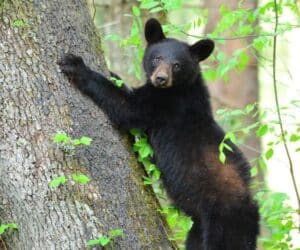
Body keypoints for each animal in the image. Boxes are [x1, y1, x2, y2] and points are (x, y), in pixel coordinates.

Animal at [58, 18, 258, 249]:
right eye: (157, 58)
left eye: (177, 65)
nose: (161, 78)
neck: (180, 88)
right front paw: (114, 74)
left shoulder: (163, 105)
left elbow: (127, 107)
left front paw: (75, 64)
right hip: (199, 226)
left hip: (224, 222)